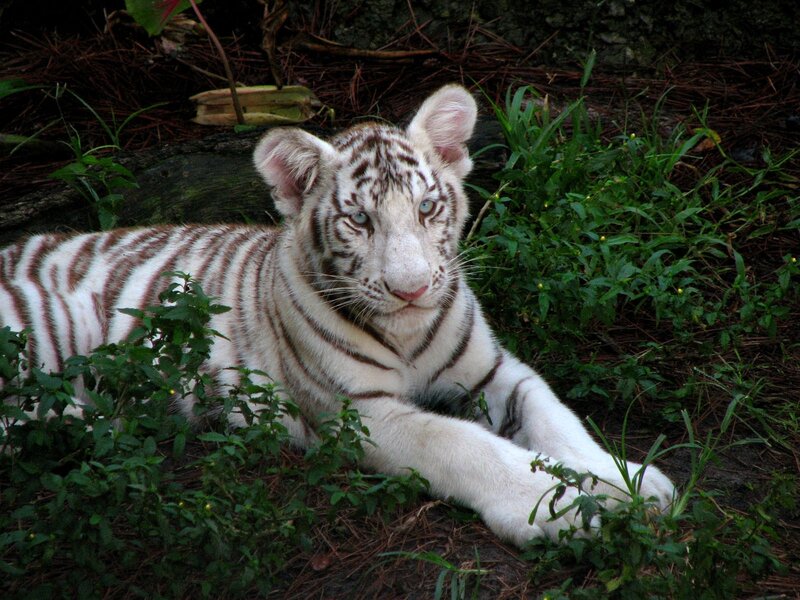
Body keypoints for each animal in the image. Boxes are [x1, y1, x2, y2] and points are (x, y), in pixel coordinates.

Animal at [0, 85, 675, 546]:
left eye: (427, 207)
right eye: (359, 220)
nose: (411, 289)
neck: (408, 334)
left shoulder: (492, 370)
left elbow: (555, 416)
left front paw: (629, 481)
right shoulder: (364, 414)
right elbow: (464, 446)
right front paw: (560, 507)